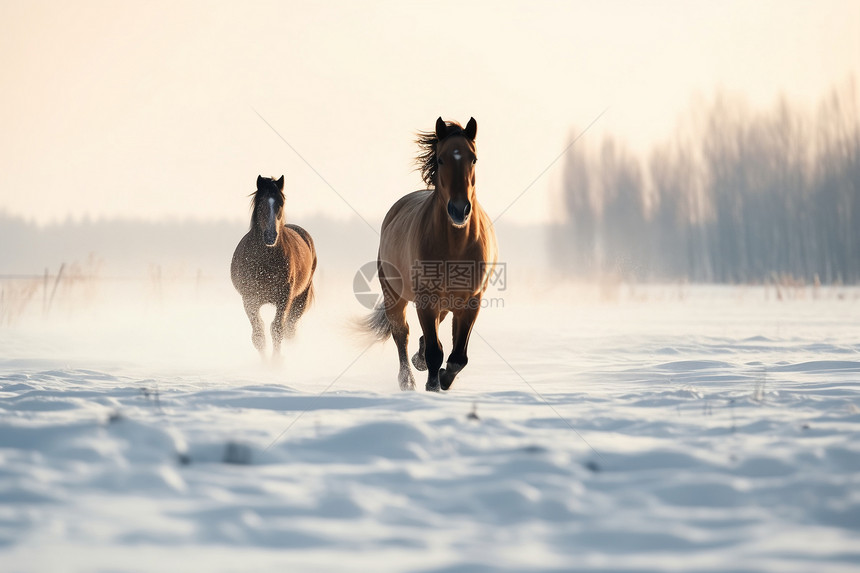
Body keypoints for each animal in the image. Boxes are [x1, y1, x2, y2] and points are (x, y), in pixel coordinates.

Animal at [230, 173, 318, 358]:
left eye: (281, 203)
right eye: (261, 204)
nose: (271, 235)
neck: (265, 261)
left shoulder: (284, 298)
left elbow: (277, 330)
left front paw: (276, 361)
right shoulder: (250, 299)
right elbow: (258, 335)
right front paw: (265, 362)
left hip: (300, 299)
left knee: (290, 329)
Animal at [362, 118, 498, 392]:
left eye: (474, 159)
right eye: (441, 159)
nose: (459, 210)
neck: (456, 246)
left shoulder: (472, 301)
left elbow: (458, 357)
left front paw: (444, 379)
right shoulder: (425, 299)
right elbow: (436, 351)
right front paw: (433, 386)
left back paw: (420, 360)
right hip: (394, 294)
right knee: (401, 333)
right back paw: (408, 380)